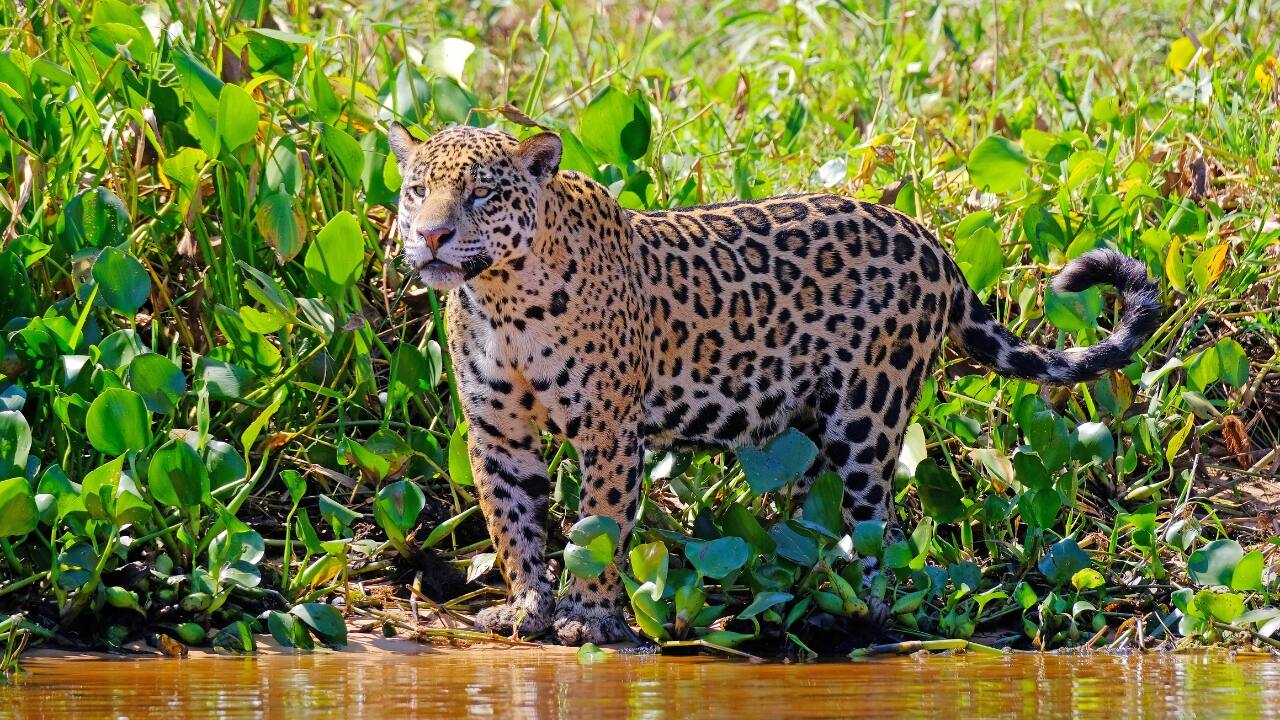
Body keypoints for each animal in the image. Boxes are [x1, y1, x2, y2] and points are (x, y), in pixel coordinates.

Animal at [386, 123, 1161, 646]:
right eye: (417, 191)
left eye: (483, 196)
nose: (430, 236)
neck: (503, 299)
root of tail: (933, 240)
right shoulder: (496, 434)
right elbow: (512, 524)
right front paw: (526, 608)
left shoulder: (608, 431)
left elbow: (597, 528)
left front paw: (589, 618)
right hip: (807, 432)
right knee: (812, 523)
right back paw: (795, 603)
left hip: (869, 419)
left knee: (882, 530)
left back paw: (858, 619)